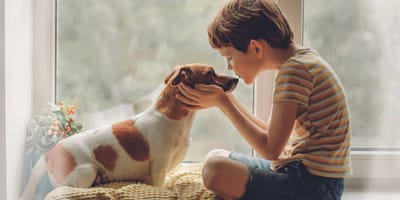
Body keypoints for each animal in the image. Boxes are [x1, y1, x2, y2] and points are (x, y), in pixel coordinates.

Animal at [20, 63, 238, 199]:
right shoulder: (158, 171)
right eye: (210, 73)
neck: (174, 118)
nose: (236, 78)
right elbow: (161, 185)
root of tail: (51, 153)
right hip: (86, 172)